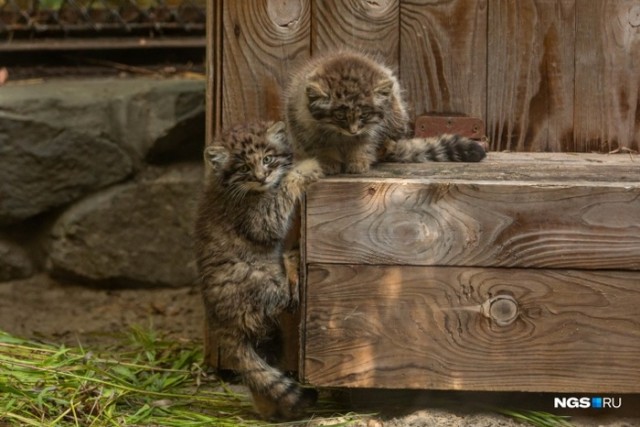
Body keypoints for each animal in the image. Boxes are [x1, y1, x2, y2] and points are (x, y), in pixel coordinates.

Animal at [284, 50, 484, 176]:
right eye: (339, 116)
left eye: (364, 115)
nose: (353, 131)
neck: (341, 135)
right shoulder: (309, 131)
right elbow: (324, 148)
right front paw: (329, 162)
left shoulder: (369, 130)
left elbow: (363, 145)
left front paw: (358, 161)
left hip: (396, 114)